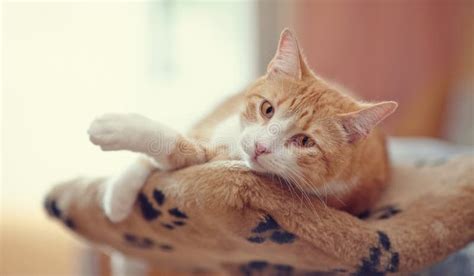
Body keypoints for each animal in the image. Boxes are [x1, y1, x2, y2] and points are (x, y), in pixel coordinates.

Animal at [88, 28, 396, 222]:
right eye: (267, 109)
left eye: (305, 141)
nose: (260, 147)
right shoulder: (209, 129)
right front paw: (119, 193)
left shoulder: (208, 159)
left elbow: (172, 146)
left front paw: (114, 127)